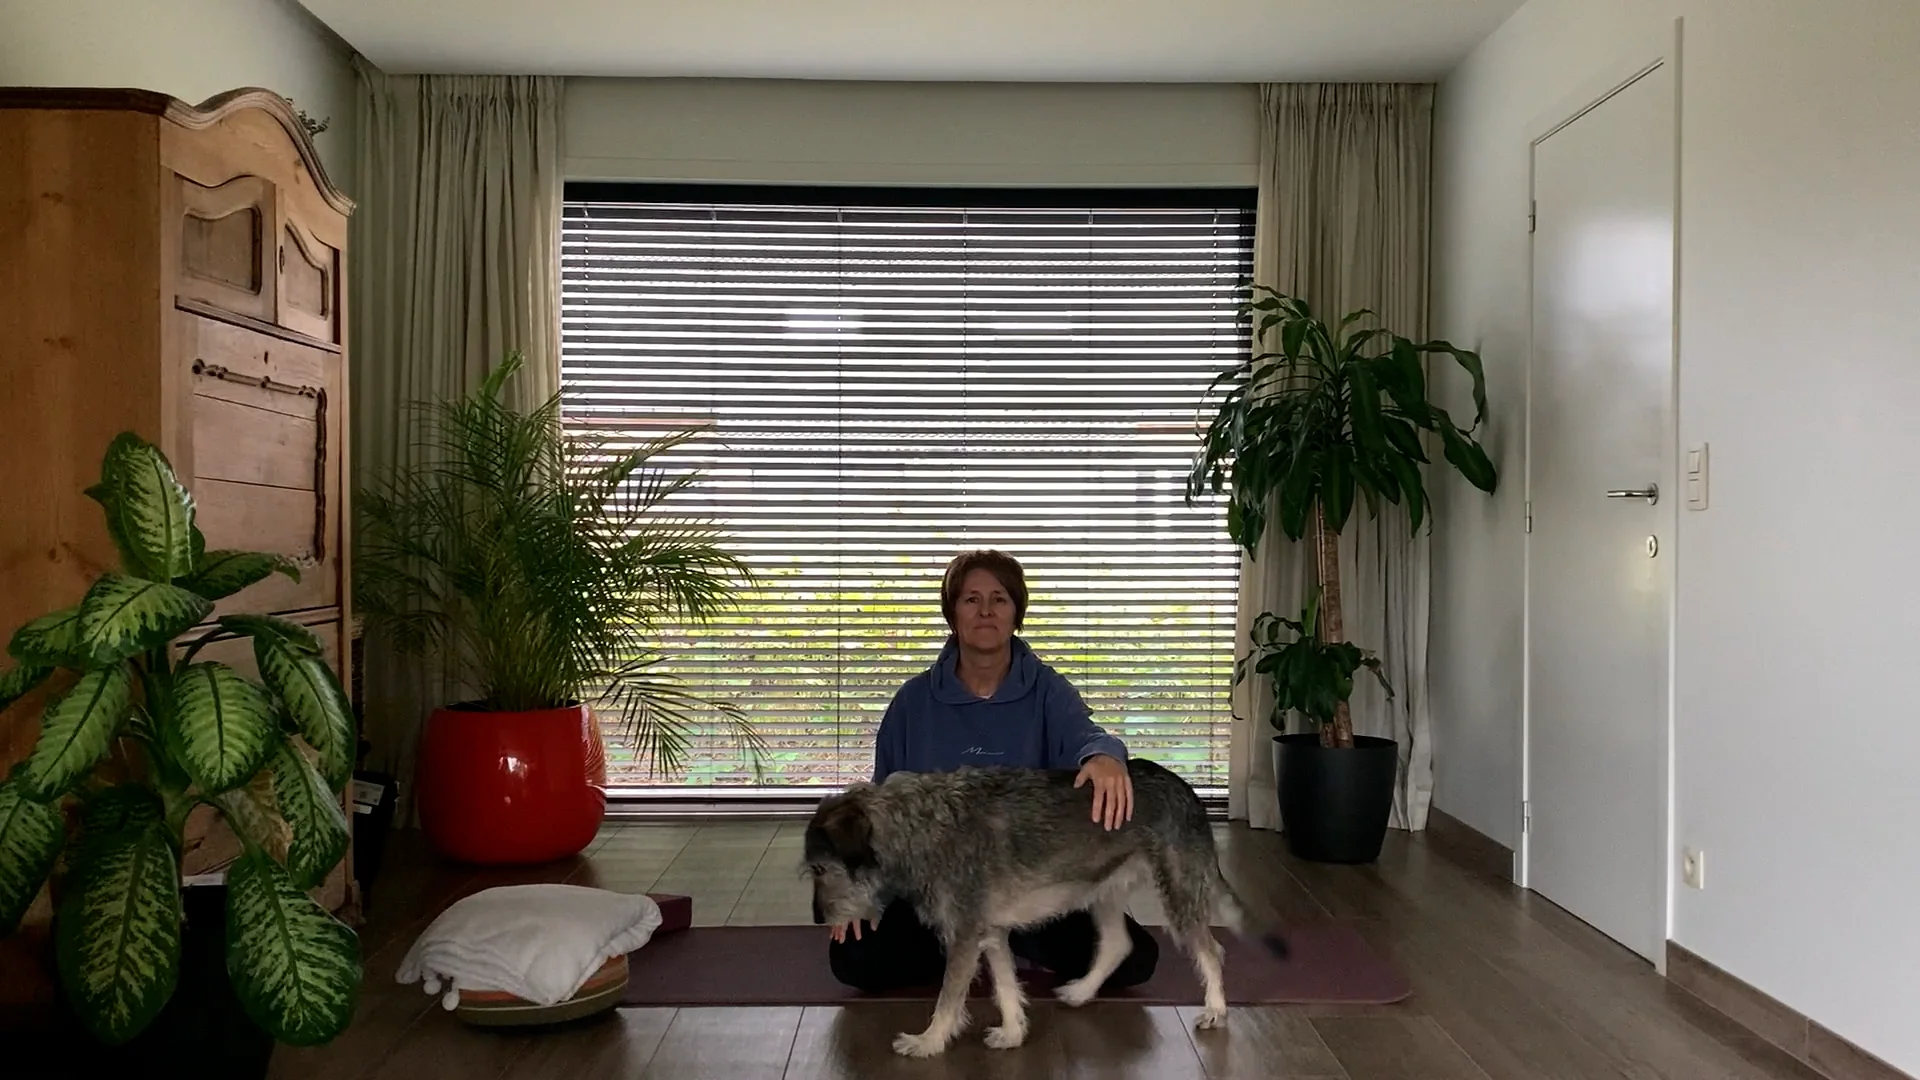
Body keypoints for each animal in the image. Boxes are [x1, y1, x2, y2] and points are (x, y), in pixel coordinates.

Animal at [802, 756, 1289, 1057]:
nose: (818, 919)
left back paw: (1216, 1010)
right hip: (1103, 892)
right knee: (1118, 944)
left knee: (1210, 950)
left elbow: (947, 999)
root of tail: (1189, 791)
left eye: (821, 869)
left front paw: (928, 1043)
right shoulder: (990, 933)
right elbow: (1005, 987)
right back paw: (1080, 992)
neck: (921, 827)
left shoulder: (964, 937)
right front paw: (1014, 1032)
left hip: (1178, 893)